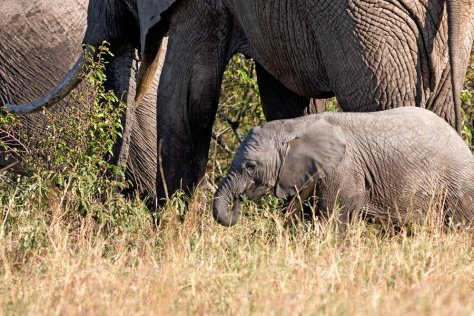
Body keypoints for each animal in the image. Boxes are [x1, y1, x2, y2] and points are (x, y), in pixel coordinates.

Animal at [213, 107, 474, 226]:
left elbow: (332, 217)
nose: (238, 199)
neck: (295, 125)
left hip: (457, 182)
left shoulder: (344, 169)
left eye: (250, 166)